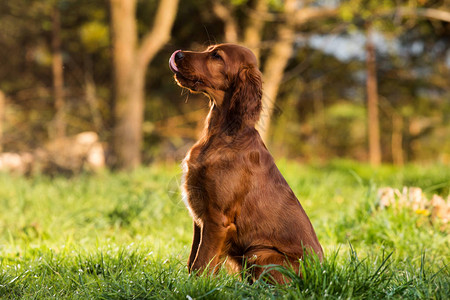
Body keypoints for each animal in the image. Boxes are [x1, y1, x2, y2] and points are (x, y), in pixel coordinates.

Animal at [170, 43, 324, 282]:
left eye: (217, 56)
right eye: (209, 48)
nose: (177, 54)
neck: (223, 133)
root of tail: (321, 274)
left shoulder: (217, 219)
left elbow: (201, 263)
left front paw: (194, 287)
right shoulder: (199, 219)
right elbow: (193, 260)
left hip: (259, 252)